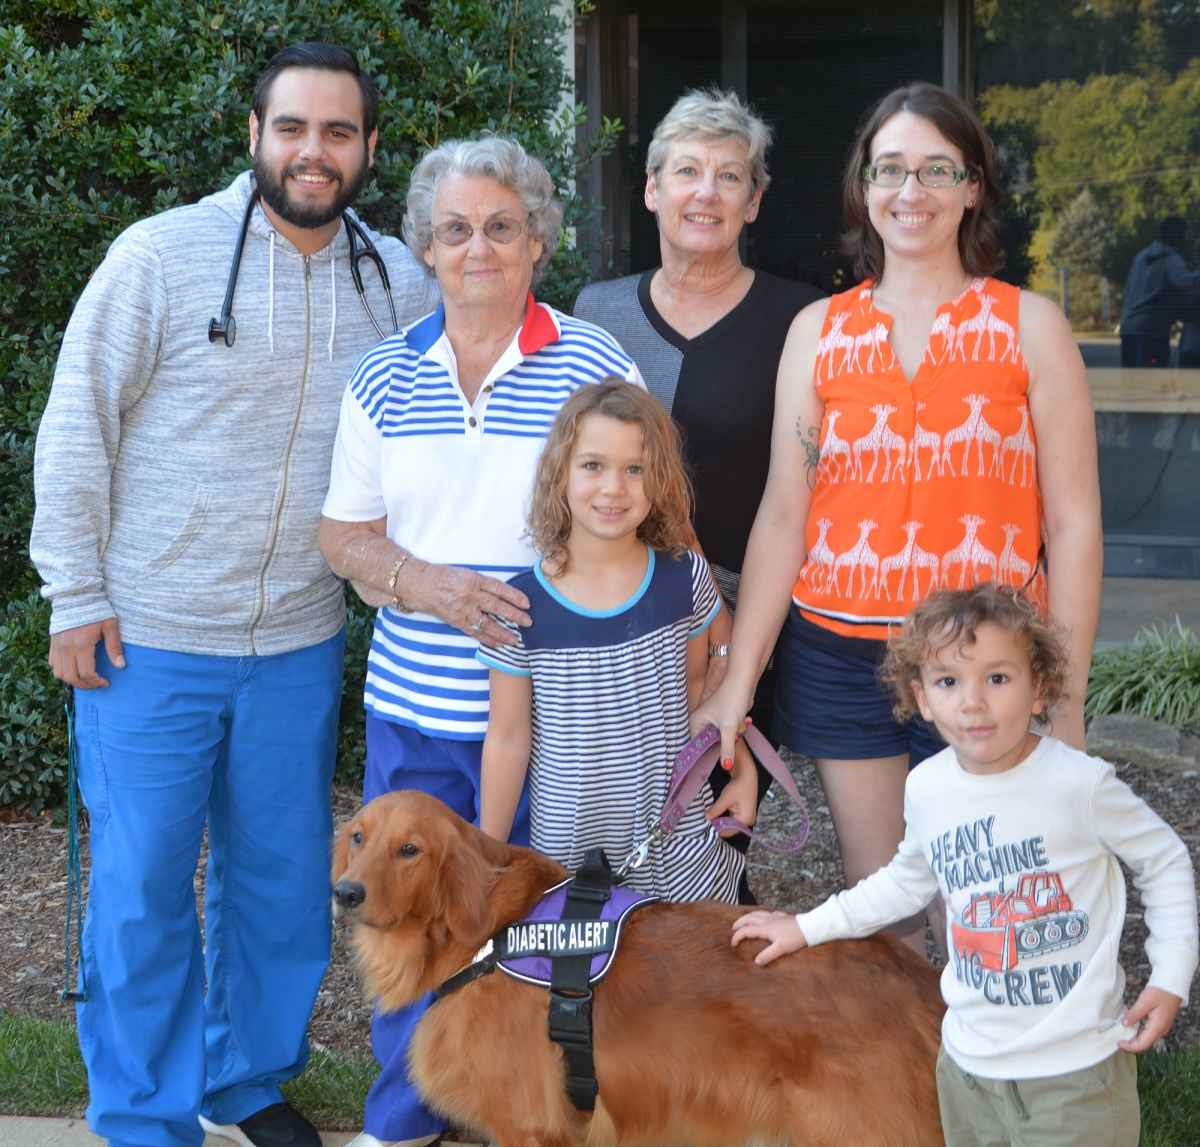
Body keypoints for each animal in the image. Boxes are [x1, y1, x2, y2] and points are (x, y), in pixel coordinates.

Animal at [331, 787, 945, 1147]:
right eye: (358, 837)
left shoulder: (527, 1126)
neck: (485, 934)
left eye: (409, 850)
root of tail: (918, 982)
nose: (345, 893)